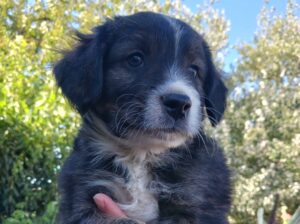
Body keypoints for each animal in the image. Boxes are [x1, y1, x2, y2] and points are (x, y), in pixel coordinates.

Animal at [54, 10, 231, 224]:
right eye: (135, 59)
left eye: (194, 70)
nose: (179, 103)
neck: (140, 155)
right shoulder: (82, 197)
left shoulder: (197, 201)